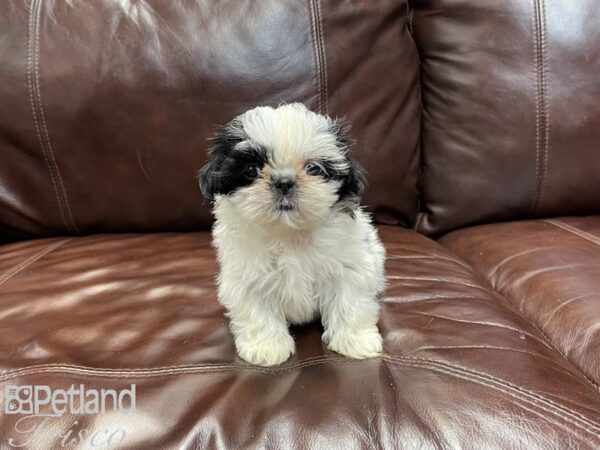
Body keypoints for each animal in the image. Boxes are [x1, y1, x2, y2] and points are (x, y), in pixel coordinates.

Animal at [197, 103, 384, 368]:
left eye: (313, 168)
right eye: (252, 170)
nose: (284, 182)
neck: (289, 232)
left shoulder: (349, 267)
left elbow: (349, 302)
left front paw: (355, 340)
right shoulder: (247, 276)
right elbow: (258, 311)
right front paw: (266, 347)